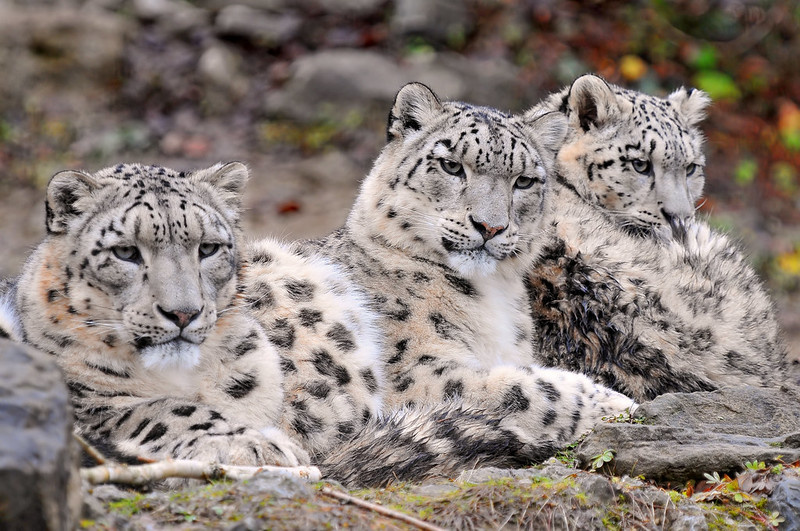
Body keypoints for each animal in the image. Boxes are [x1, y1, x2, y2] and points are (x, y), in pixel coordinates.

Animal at [308, 82, 636, 486]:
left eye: (524, 180)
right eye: (451, 166)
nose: (490, 226)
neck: (493, 294)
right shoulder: (419, 374)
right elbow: (526, 388)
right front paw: (616, 402)